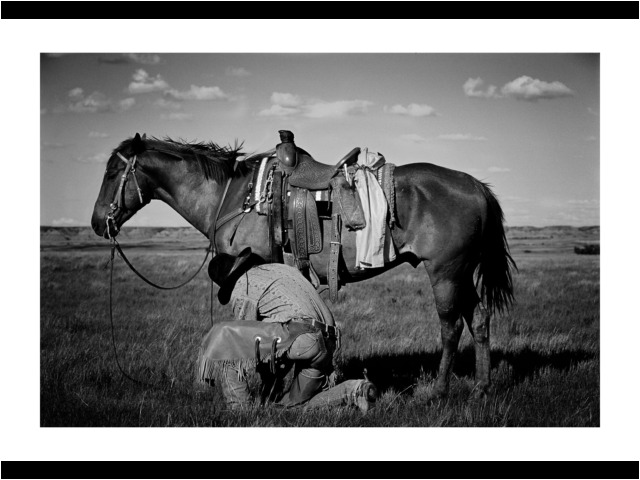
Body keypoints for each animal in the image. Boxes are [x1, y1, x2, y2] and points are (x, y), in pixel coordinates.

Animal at [91, 132, 517, 398]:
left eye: (112, 172)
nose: (98, 223)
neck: (235, 198)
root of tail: (476, 186)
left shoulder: (253, 271)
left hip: (445, 272)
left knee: (451, 327)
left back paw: (439, 393)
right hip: (462, 273)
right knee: (479, 319)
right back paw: (481, 388)